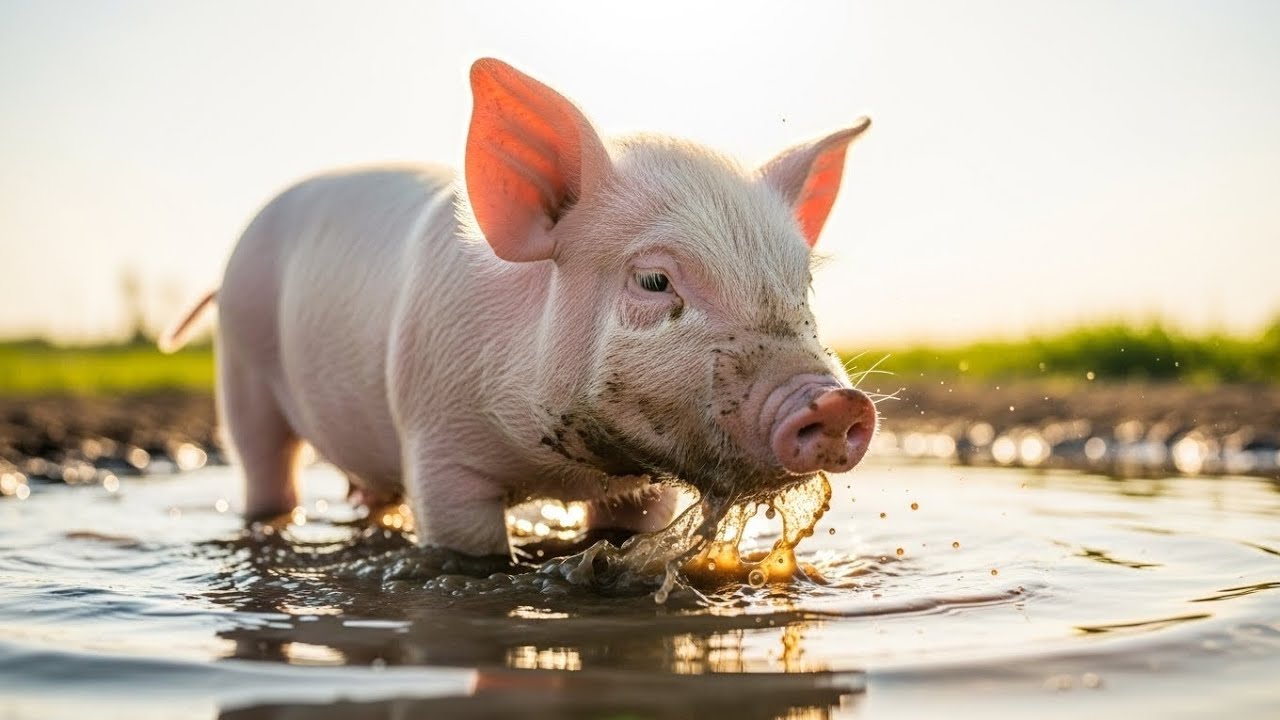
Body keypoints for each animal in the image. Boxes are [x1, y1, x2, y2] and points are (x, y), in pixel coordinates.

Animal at [161, 58, 877, 557]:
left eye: (804, 285)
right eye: (653, 280)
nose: (837, 401)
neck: (558, 470)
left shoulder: (646, 483)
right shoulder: (439, 450)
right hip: (240, 369)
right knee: (265, 470)